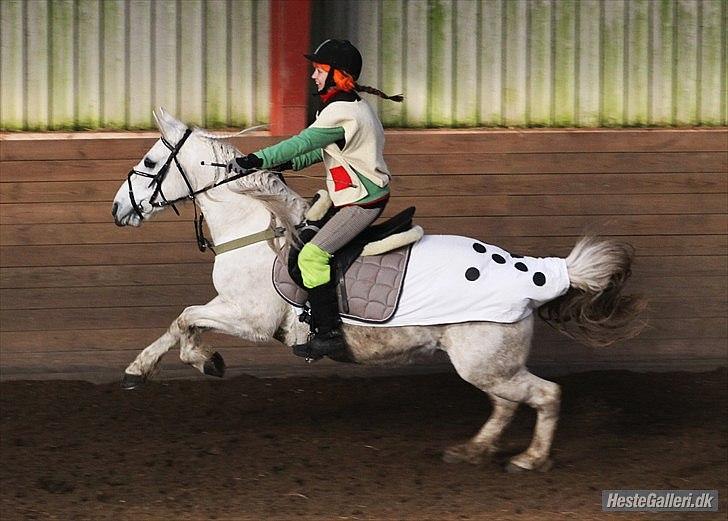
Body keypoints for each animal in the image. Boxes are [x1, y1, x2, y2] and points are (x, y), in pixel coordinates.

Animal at [112, 108, 644, 472]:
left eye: (152, 159)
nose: (118, 209)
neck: (256, 225)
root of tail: (540, 273)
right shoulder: (233, 309)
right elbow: (179, 320)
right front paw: (146, 369)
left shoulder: (251, 318)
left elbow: (185, 316)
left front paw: (202, 360)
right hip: (490, 365)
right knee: (508, 402)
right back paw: (473, 449)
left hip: (485, 362)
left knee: (545, 395)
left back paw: (529, 459)